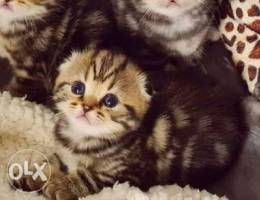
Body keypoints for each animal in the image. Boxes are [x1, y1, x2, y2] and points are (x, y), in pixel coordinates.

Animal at [15, 49, 249, 199]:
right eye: (78, 88)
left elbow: (90, 177)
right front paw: (33, 176)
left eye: (110, 101)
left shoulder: (126, 174)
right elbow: (51, 161)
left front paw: (62, 186)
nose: (86, 107)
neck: (81, 137)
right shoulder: (63, 152)